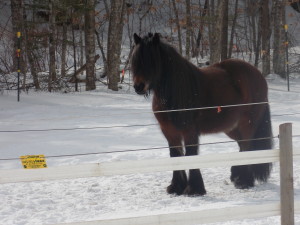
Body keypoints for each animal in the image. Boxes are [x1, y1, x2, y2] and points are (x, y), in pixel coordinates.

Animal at [131, 32, 272, 196]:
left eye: (151, 60)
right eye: (135, 60)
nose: (138, 86)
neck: (174, 91)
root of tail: (259, 75)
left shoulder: (190, 131)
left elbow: (191, 155)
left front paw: (194, 189)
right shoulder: (169, 132)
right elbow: (175, 155)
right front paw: (176, 187)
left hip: (247, 124)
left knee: (246, 147)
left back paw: (244, 181)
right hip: (232, 128)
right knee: (242, 145)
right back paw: (237, 177)